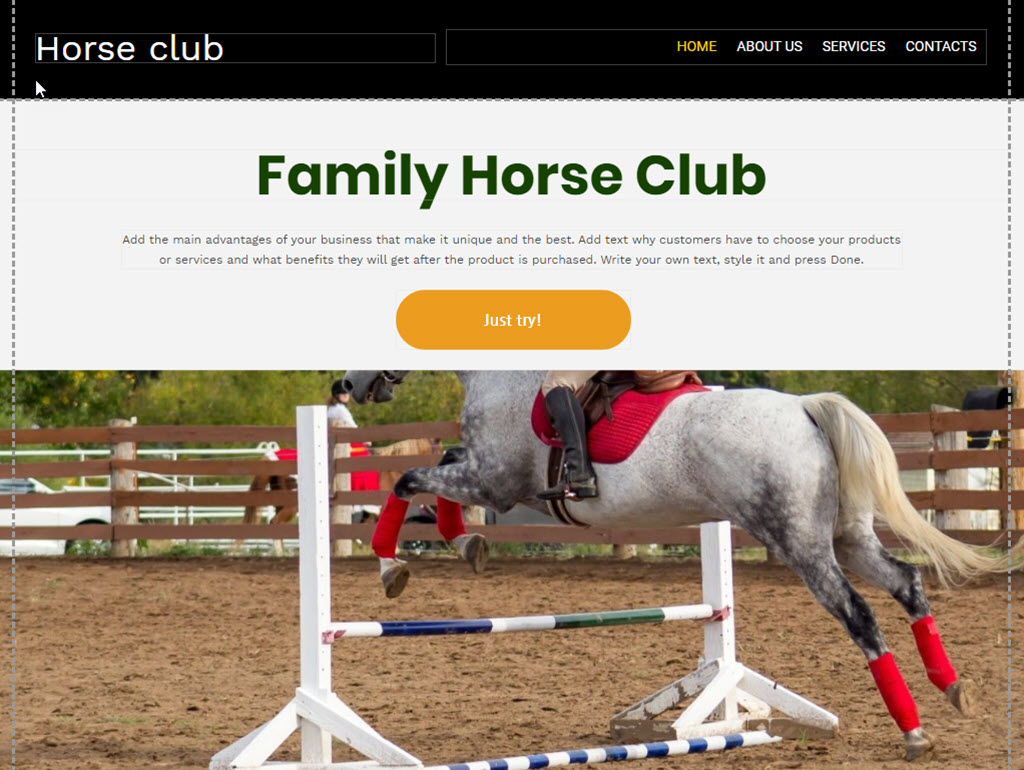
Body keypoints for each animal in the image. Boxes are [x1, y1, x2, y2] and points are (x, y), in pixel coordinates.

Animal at [343, 369, 1011, 761]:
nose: (348, 385)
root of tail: (803, 410)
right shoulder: (487, 476)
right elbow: (435, 470)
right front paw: (462, 545)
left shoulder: (497, 482)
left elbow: (408, 478)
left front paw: (394, 565)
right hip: (845, 537)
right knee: (907, 583)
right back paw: (953, 689)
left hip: (799, 543)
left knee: (860, 615)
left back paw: (913, 729)